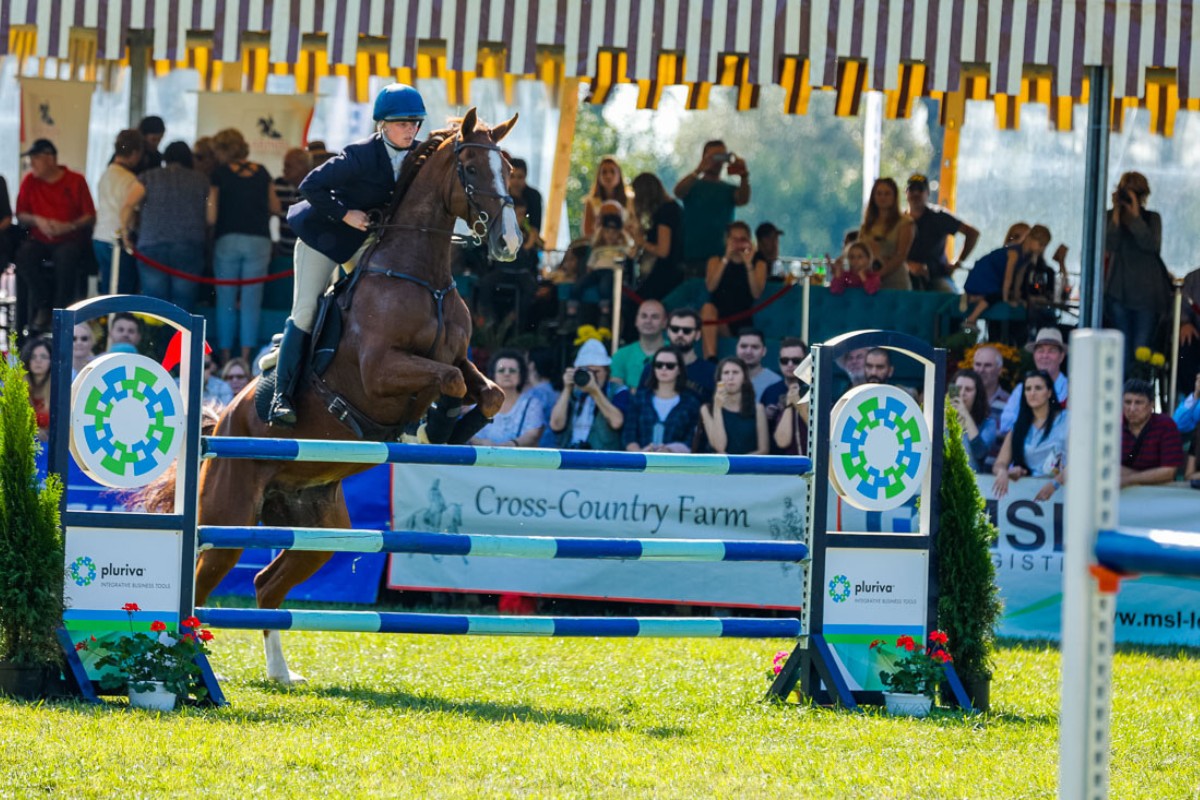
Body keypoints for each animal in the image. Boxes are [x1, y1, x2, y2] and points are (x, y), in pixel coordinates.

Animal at [192, 109, 518, 682]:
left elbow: (490, 392)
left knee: (265, 585)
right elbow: (447, 382)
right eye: (472, 169)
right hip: (228, 517)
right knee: (200, 583)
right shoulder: (380, 371)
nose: (510, 243)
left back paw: (281, 673)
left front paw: (450, 428)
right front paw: (427, 427)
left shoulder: (459, 356)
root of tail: (221, 425)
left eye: (510, 169)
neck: (422, 276)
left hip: (319, 530)